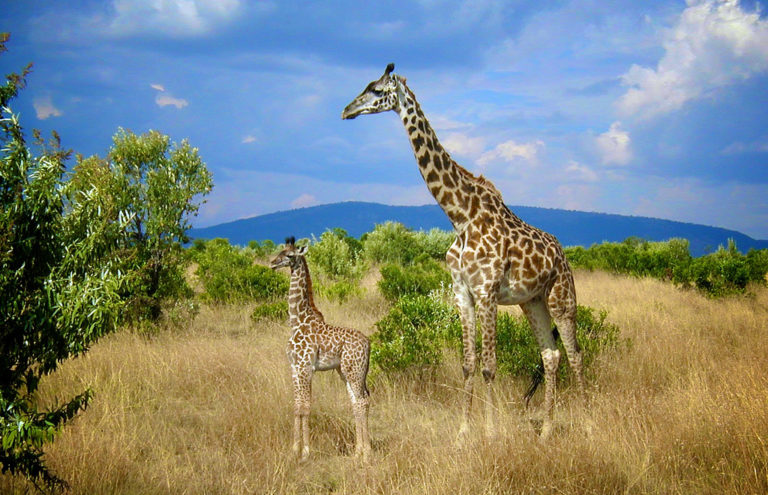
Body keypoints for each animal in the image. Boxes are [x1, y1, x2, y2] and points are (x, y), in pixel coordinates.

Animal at [270, 238, 372, 464]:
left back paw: (366, 453)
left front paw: (306, 452)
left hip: (354, 371)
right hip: (345, 372)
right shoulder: (294, 368)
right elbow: (296, 406)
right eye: (280, 251)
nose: (272, 263)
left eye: (290, 255)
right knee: (357, 402)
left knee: (362, 401)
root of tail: (369, 343)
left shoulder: (306, 368)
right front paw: (294, 450)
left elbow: (306, 406)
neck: (296, 321)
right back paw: (357, 451)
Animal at [342, 64, 584, 440]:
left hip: (562, 297)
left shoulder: (486, 292)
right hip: (532, 302)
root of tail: (562, 254)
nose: (346, 110)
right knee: (551, 355)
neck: (460, 216)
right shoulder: (462, 292)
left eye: (377, 89)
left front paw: (491, 432)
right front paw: (463, 432)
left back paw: (587, 423)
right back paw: (545, 429)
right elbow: (469, 364)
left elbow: (489, 366)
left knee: (575, 355)